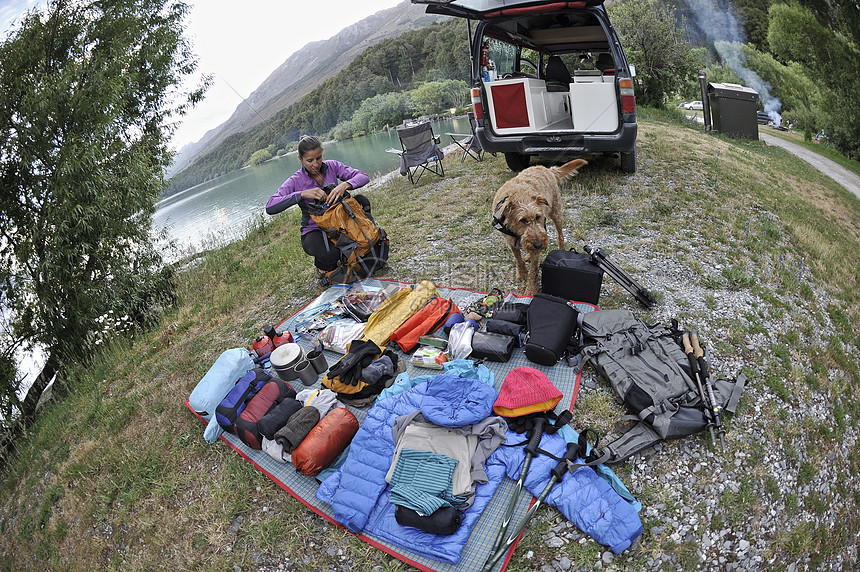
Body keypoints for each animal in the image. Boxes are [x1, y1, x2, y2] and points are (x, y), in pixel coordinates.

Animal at [494, 159, 588, 298]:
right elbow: (518, 258)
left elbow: (533, 270)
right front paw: (522, 273)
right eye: (523, 220)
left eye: (538, 217)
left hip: (556, 212)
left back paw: (562, 249)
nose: (539, 245)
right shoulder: (510, 241)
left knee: (560, 235)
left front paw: (531, 290)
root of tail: (547, 169)